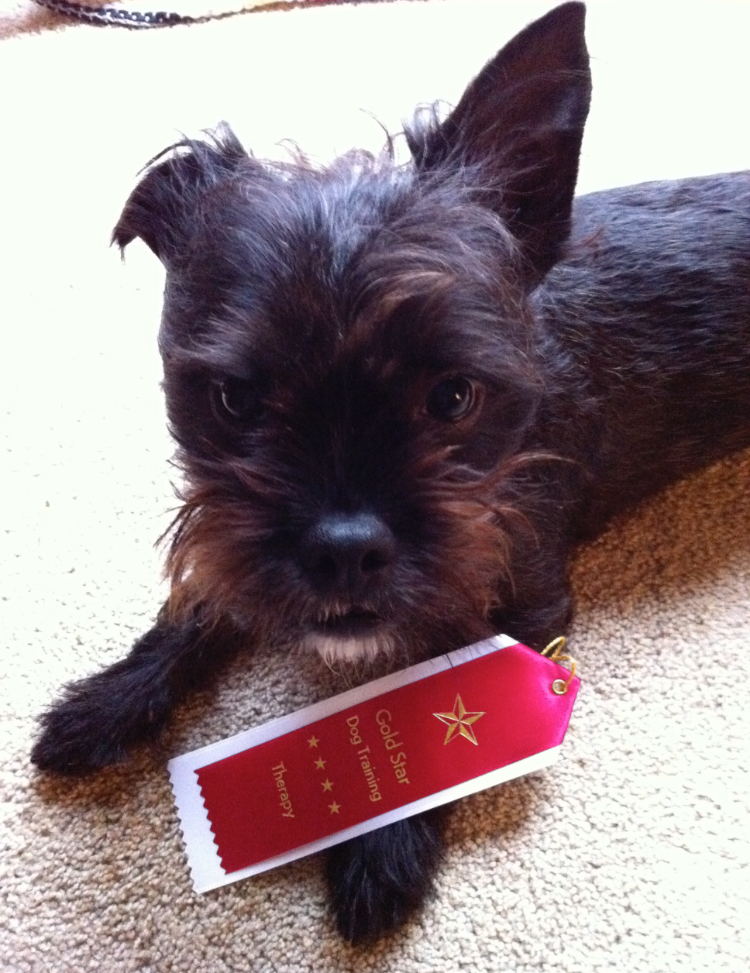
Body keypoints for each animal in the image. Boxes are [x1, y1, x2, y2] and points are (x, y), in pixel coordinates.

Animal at [30, 0, 750, 940]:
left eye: (452, 396)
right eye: (234, 398)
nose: (343, 550)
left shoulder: (522, 588)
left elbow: (438, 697)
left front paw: (384, 849)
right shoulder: (236, 539)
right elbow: (204, 592)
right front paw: (111, 698)